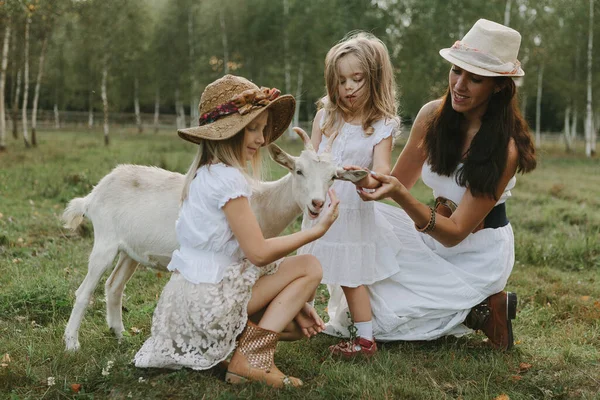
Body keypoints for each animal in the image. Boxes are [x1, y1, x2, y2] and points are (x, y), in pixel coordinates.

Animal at [61, 130, 366, 352]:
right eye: (298, 170)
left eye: (333, 177)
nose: (317, 204)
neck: (262, 202)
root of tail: (92, 195)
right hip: (105, 240)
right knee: (84, 291)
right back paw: (72, 344)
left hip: (129, 250)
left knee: (114, 286)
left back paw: (120, 335)